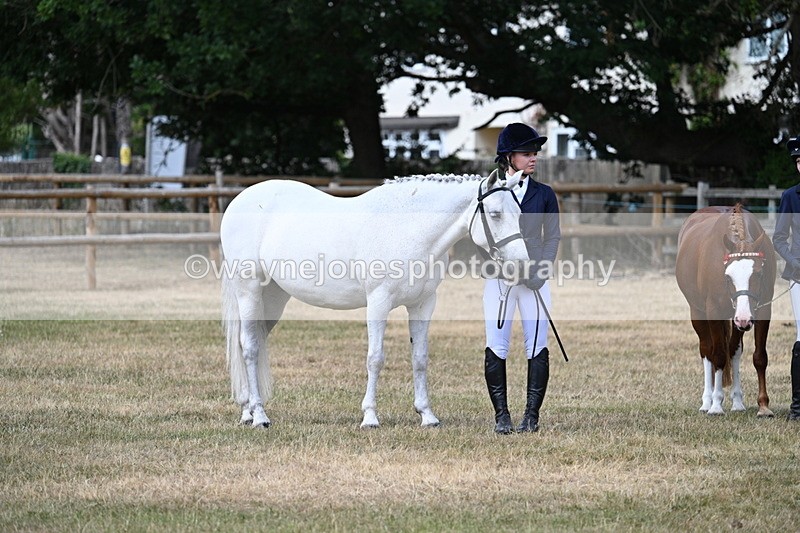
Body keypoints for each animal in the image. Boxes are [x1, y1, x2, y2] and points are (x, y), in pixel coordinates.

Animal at [219, 172, 531, 428]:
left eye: (518, 212)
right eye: (495, 214)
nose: (521, 264)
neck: (407, 228)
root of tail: (240, 200)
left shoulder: (423, 304)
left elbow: (420, 357)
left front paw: (427, 415)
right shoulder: (378, 302)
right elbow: (375, 358)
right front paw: (370, 417)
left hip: (273, 298)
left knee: (251, 342)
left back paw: (247, 411)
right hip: (249, 291)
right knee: (249, 348)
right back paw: (260, 415)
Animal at [675, 204, 776, 417]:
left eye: (759, 273)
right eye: (728, 276)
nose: (744, 318)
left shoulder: (763, 311)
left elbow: (759, 357)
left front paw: (763, 406)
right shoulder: (714, 312)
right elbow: (718, 356)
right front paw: (716, 405)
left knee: (734, 350)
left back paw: (737, 402)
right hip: (698, 313)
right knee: (707, 350)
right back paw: (707, 401)